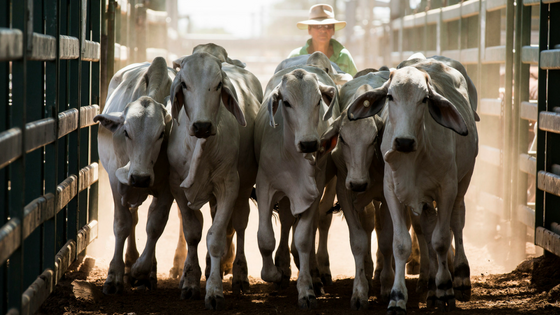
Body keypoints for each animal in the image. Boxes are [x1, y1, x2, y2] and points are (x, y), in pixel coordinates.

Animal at [93, 57, 175, 296]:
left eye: (161, 133)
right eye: (126, 132)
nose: (140, 178)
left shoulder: (167, 188)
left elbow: (155, 225)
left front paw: (142, 271)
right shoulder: (116, 182)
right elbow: (122, 224)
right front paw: (114, 275)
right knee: (132, 219)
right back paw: (129, 259)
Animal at [166, 47, 262, 312]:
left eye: (218, 84)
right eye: (185, 84)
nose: (202, 125)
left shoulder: (229, 186)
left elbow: (216, 238)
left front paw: (214, 291)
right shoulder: (177, 187)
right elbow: (193, 233)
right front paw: (189, 281)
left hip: (244, 187)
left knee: (239, 225)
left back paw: (239, 275)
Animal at [254, 65, 336, 310]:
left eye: (318, 101)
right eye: (287, 103)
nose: (309, 143)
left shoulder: (313, 191)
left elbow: (304, 239)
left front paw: (306, 289)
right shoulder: (265, 187)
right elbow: (265, 237)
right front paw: (274, 273)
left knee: (316, 222)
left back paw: (314, 274)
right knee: (286, 221)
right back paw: (282, 265)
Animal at [350, 56, 476, 314]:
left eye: (424, 99)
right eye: (390, 96)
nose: (404, 142)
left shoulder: (447, 189)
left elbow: (441, 239)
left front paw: (445, 289)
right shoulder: (392, 192)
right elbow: (401, 244)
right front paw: (397, 297)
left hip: (464, 180)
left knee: (457, 222)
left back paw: (459, 276)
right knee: (426, 229)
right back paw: (431, 285)